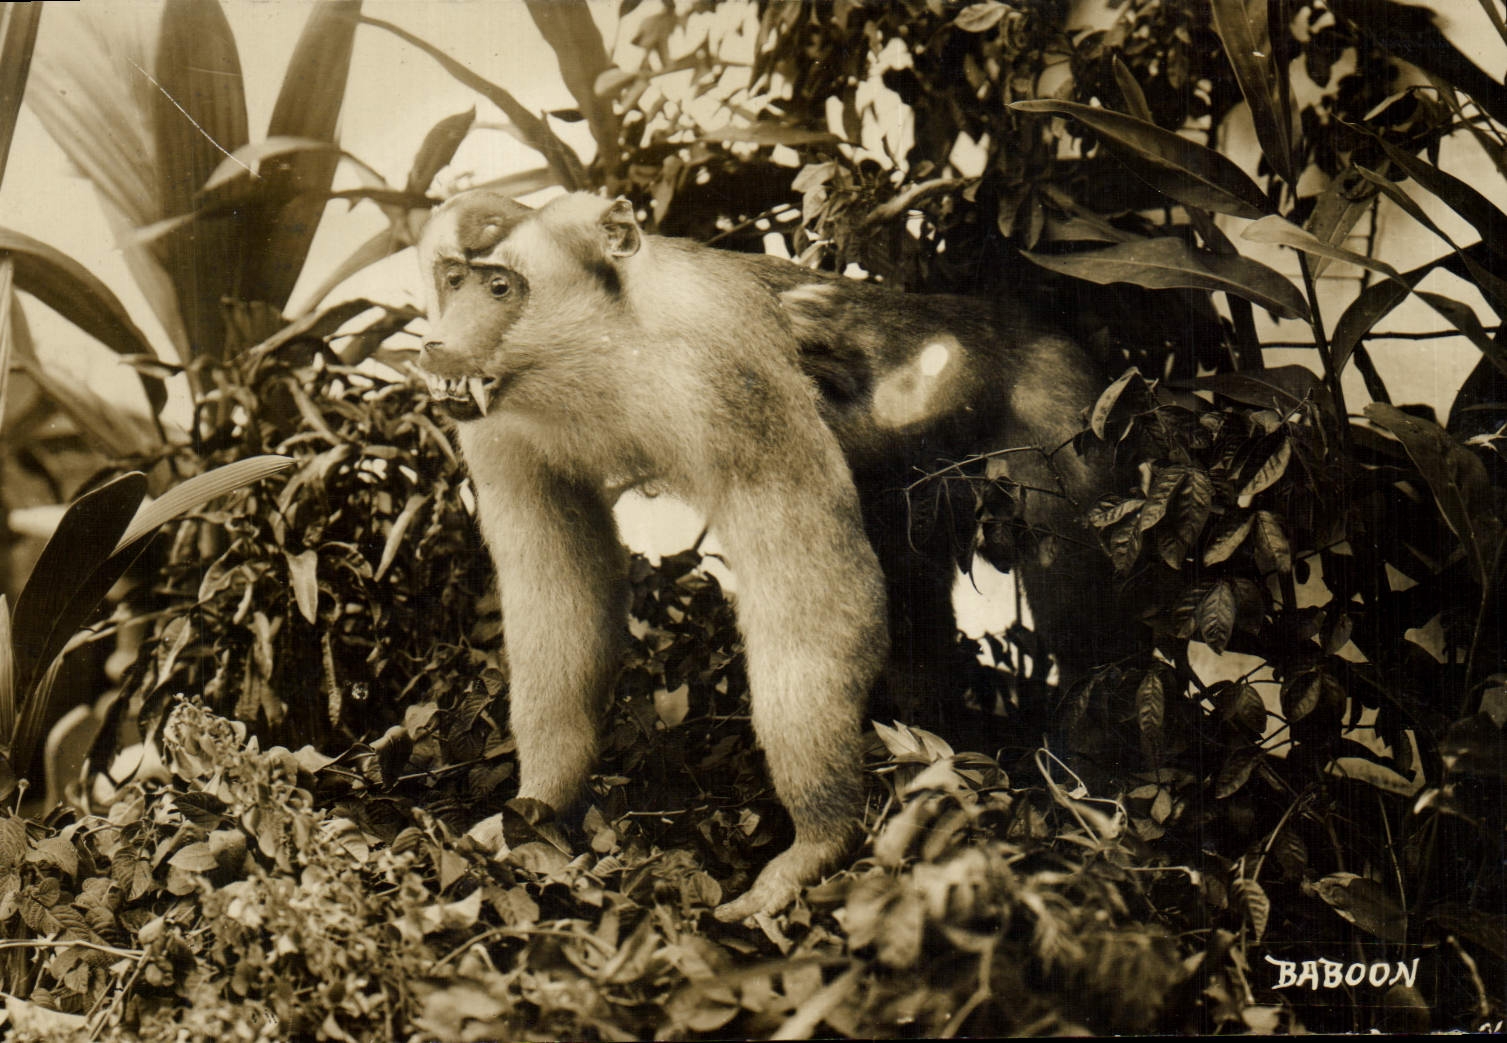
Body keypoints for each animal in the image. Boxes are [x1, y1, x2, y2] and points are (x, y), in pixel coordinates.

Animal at [416, 189, 888, 921]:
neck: (603, 356)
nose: (440, 342)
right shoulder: (497, 426)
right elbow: (561, 593)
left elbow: (816, 596)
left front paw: (819, 837)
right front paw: (540, 801)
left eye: (500, 287)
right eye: (454, 279)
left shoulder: (734, 383)